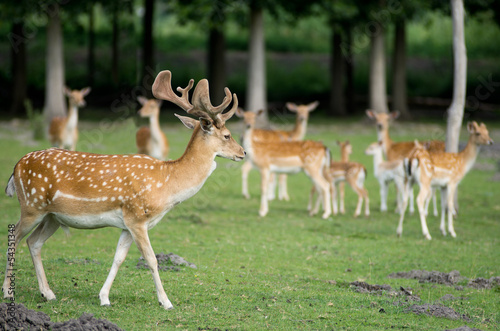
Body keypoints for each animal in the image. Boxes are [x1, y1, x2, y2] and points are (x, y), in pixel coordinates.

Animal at [3, 70, 246, 312]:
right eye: (227, 135)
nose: (243, 152)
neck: (166, 185)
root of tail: (16, 167)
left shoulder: (127, 224)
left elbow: (118, 258)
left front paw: (104, 297)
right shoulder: (137, 216)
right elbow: (151, 259)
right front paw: (166, 302)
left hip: (52, 216)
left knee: (33, 242)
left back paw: (48, 293)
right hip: (31, 205)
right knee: (15, 236)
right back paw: (8, 291)